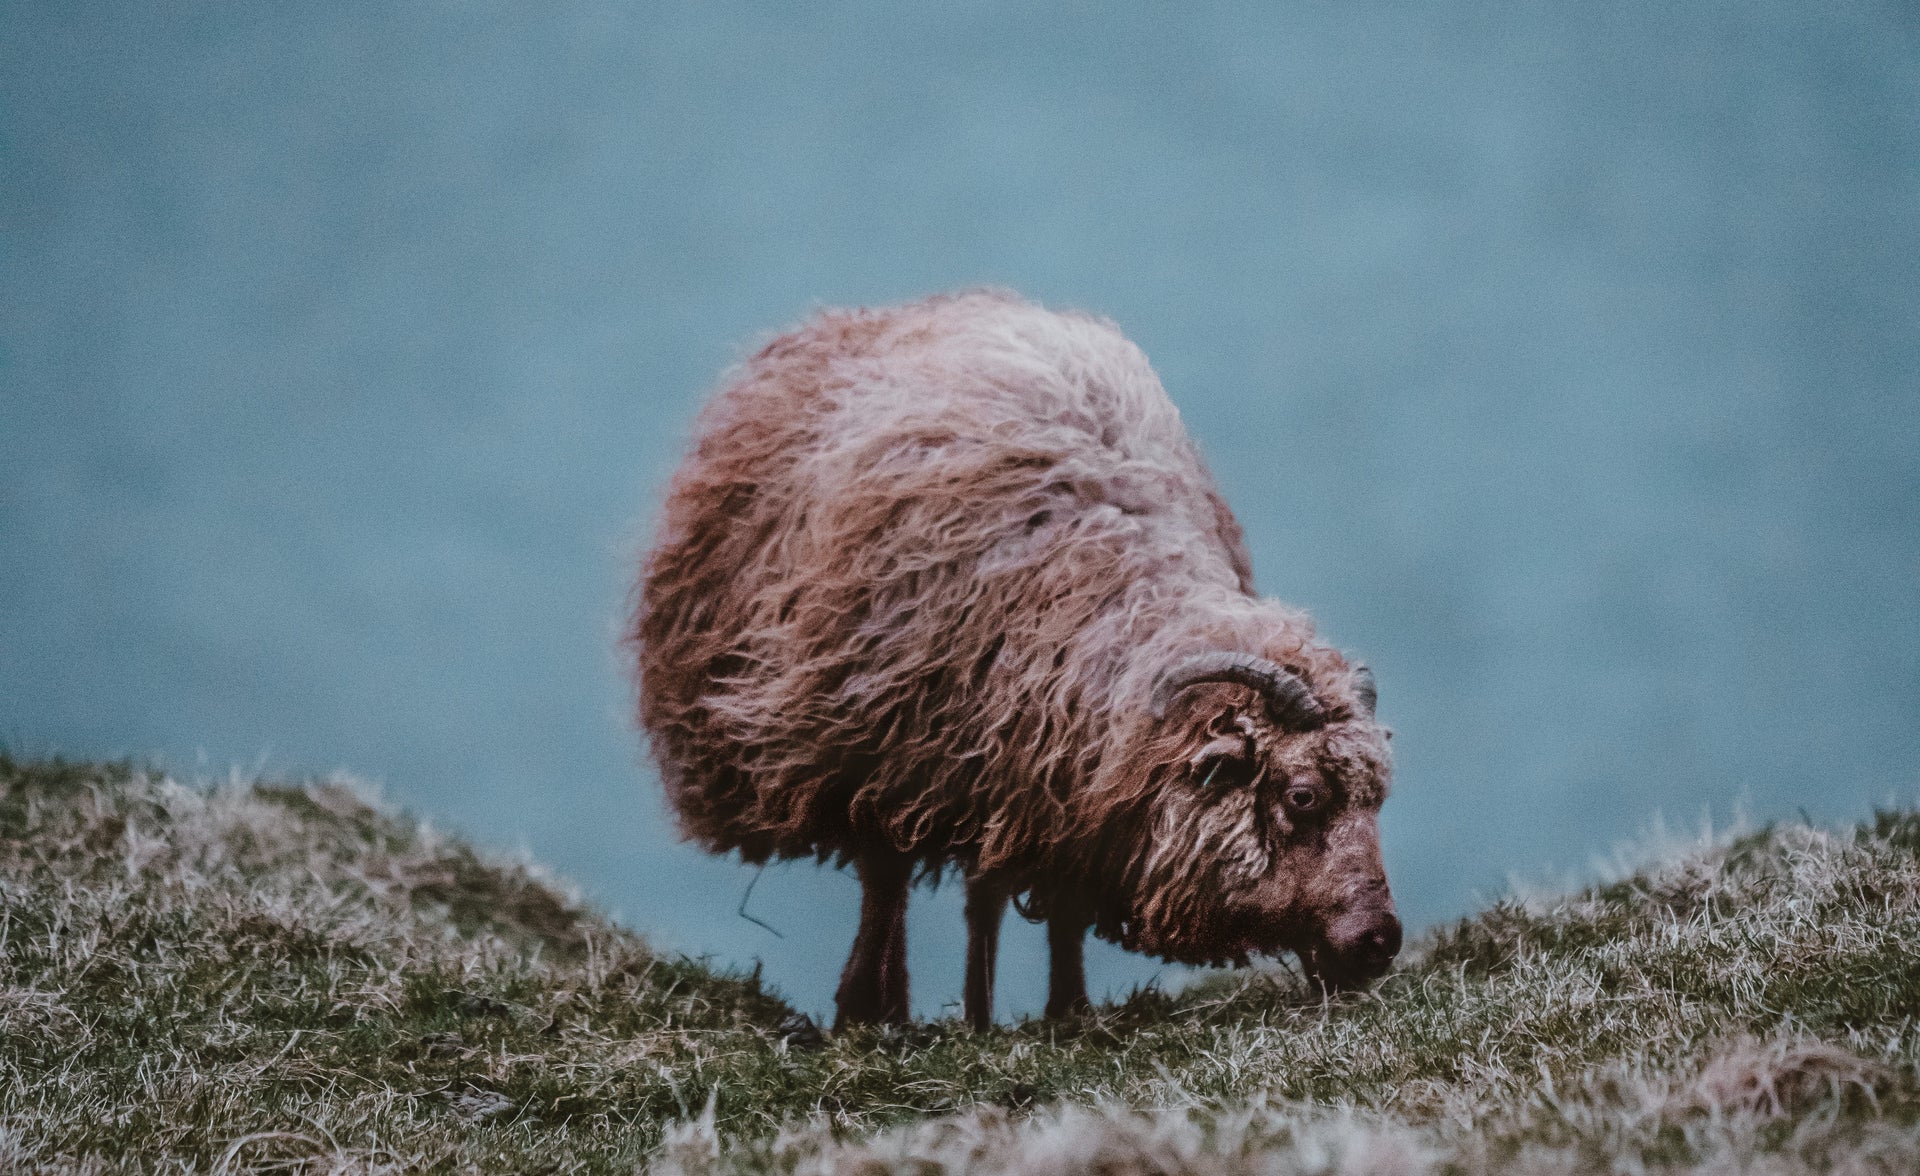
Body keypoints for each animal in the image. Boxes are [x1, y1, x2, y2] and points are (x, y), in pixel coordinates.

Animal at [629, 286, 1397, 1029]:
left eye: (1378, 798)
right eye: (1302, 796)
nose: (1380, 941)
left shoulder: (1058, 776)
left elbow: (1054, 906)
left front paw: (1067, 1012)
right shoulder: (896, 749)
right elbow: (900, 881)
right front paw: (881, 1012)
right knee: (892, 883)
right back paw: (891, 1009)